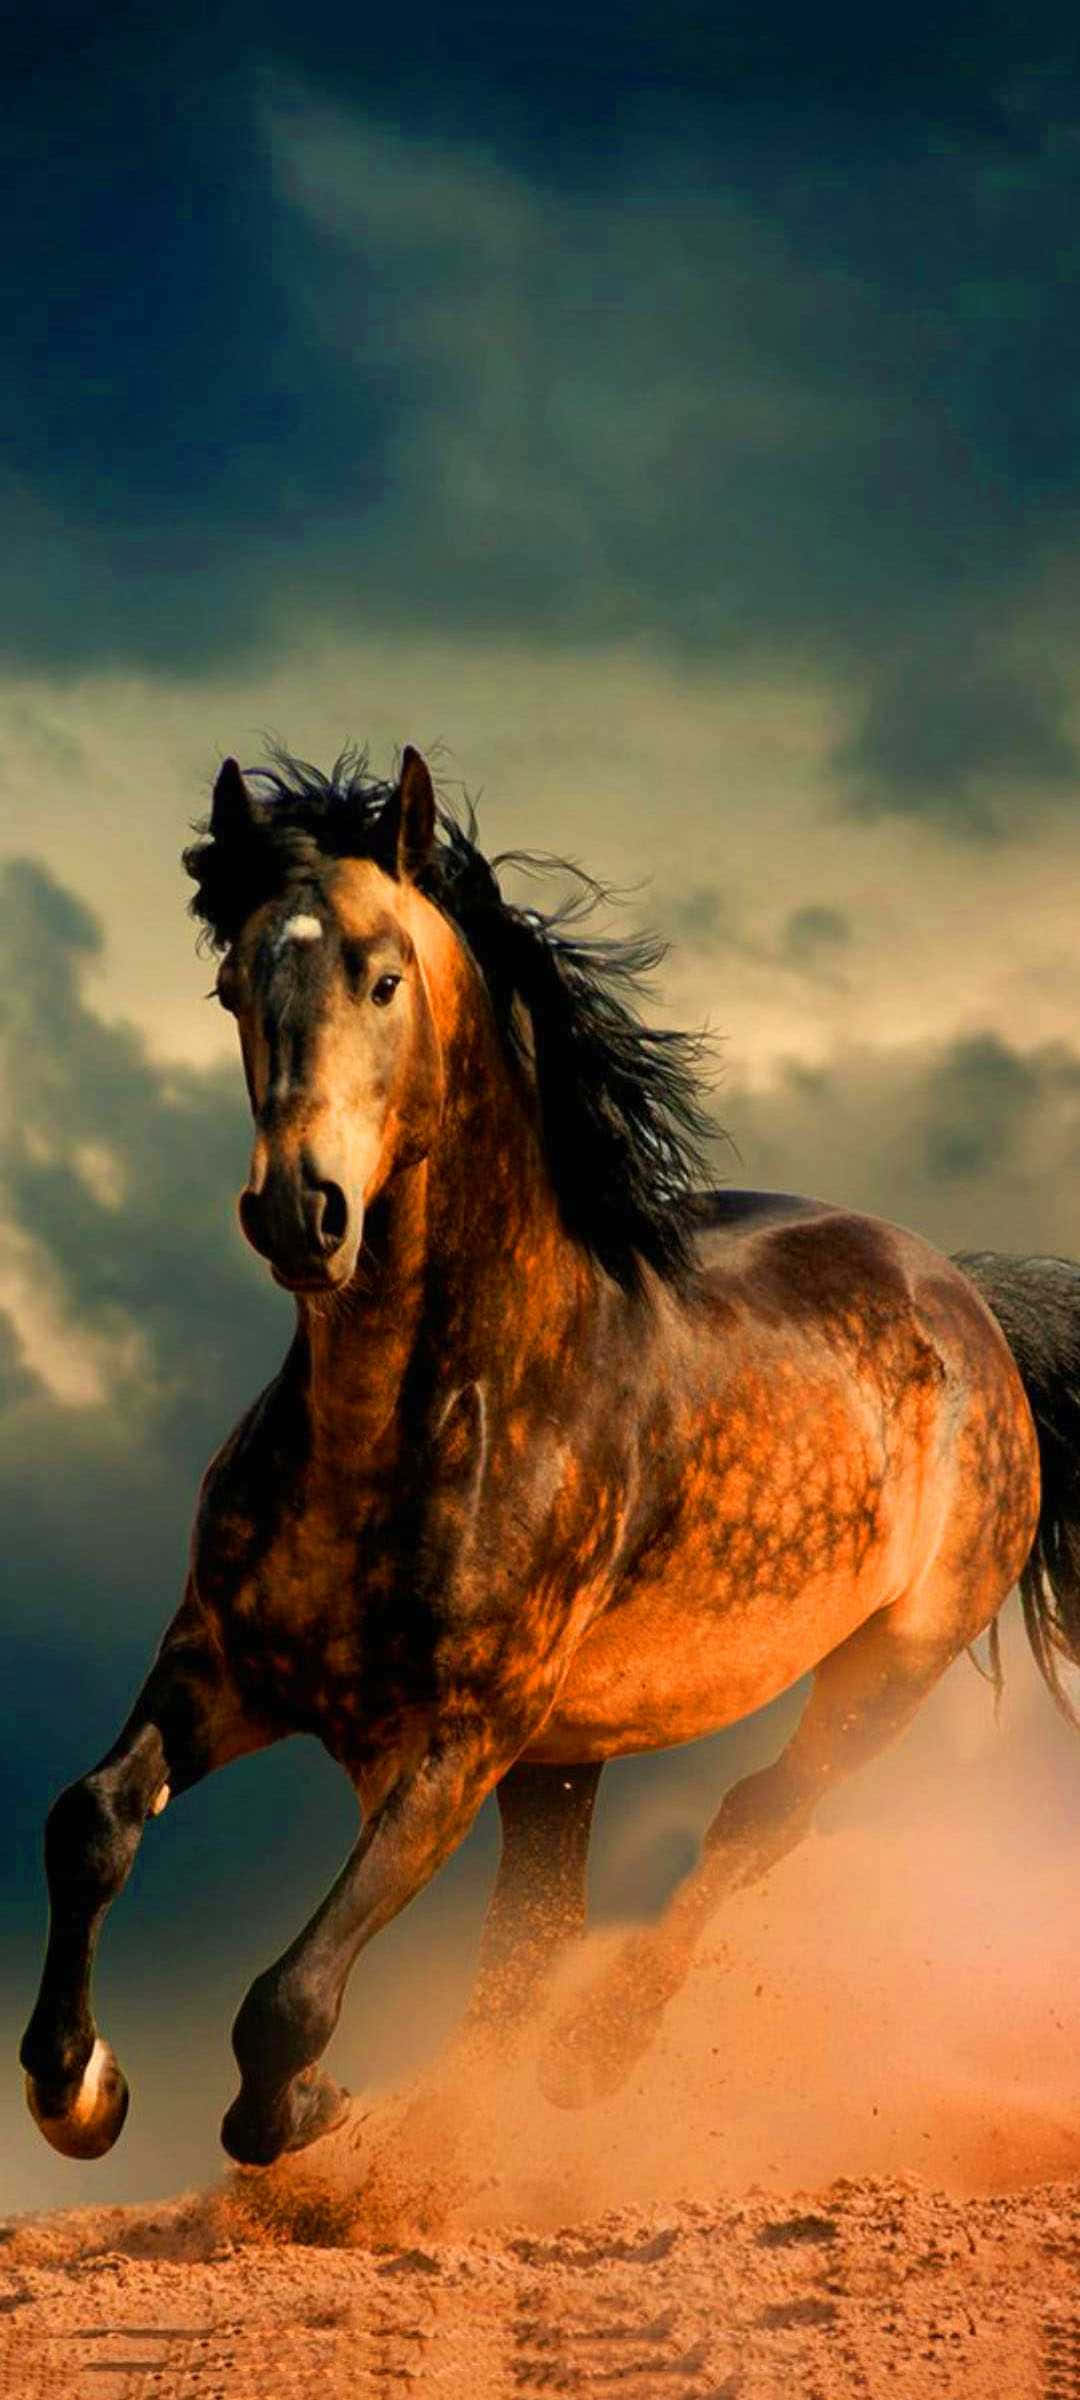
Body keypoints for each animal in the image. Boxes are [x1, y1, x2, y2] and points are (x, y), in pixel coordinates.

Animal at [20, 742, 1080, 2167]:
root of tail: (970, 1304)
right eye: (232, 983)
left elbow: (287, 1998)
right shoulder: (224, 1666)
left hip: (886, 1668)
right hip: (568, 1757)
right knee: (540, 1933)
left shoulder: (457, 1741)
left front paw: (307, 2109)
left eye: (383, 976)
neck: (410, 1427)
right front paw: (79, 2087)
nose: (299, 1212)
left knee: (753, 1822)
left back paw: (593, 2059)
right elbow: (90, 1821)